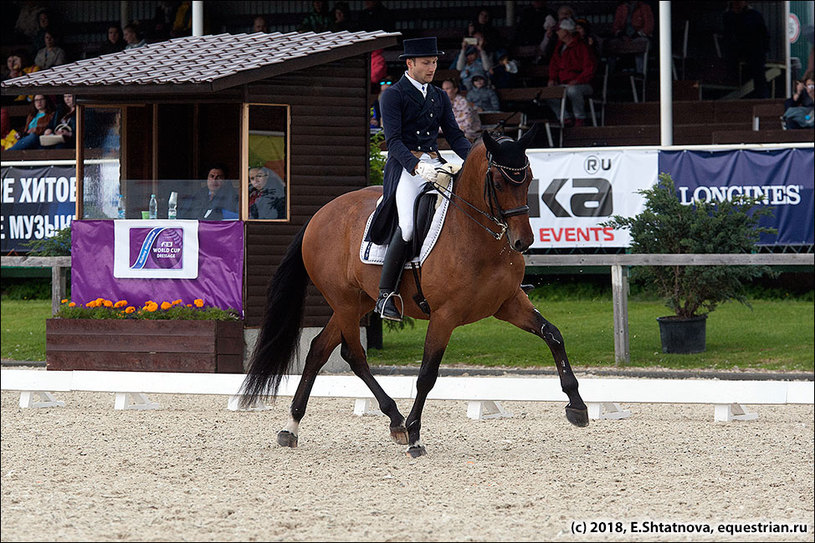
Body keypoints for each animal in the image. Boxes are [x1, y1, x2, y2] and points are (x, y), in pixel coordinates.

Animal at [239, 127, 588, 460]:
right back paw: (396, 421)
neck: (477, 237)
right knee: (354, 355)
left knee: (318, 349)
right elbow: (426, 375)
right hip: (345, 302)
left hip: (357, 302)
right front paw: (416, 435)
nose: (523, 241)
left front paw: (577, 406)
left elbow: (553, 335)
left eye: (527, 178)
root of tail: (319, 216)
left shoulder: (509, 303)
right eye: (500, 183)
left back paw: (292, 426)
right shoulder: (444, 316)